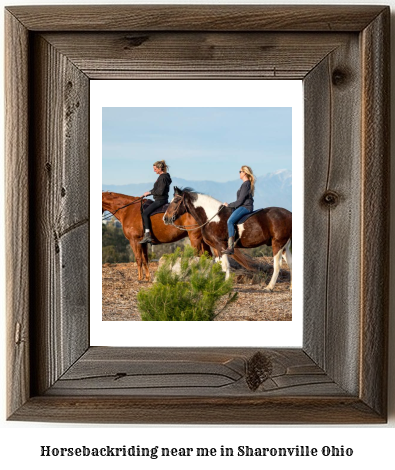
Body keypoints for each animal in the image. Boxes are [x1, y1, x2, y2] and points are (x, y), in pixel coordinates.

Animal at [162, 186, 292, 290]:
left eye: (176, 200)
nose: (165, 218)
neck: (212, 217)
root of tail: (289, 213)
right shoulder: (216, 247)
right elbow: (219, 266)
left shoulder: (221, 245)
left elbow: (225, 266)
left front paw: (225, 284)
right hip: (285, 245)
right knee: (290, 263)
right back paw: (290, 287)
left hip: (278, 244)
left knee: (278, 265)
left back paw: (269, 287)